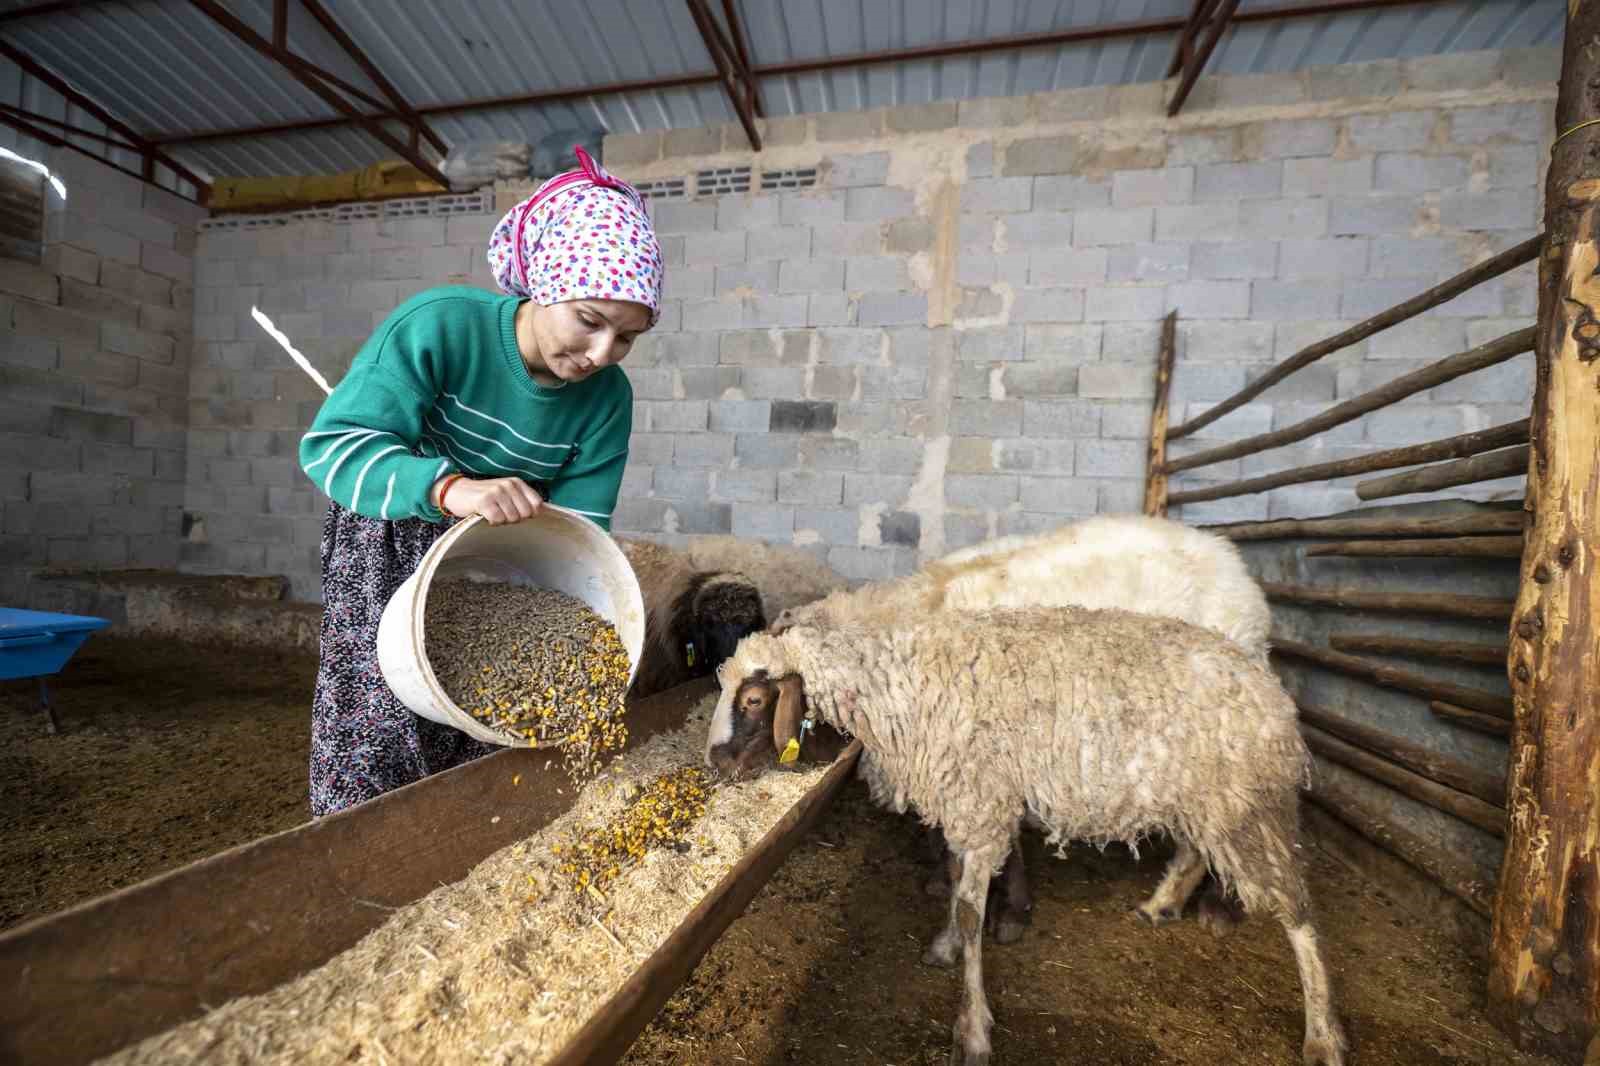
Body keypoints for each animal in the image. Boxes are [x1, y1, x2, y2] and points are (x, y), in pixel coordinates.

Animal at [707, 605, 1344, 1062]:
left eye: (755, 699)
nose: (715, 762)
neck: (900, 687)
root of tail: (1270, 688)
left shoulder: (981, 801)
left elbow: (972, 910)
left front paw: (973, 1029)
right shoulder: (971, 803)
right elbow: (957, 882)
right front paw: (946, 946)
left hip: (1248, 804)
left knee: (1297, 908)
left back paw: (1322, 1034)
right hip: (1205, 797)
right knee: (1193, 852)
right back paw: (1159, 905)